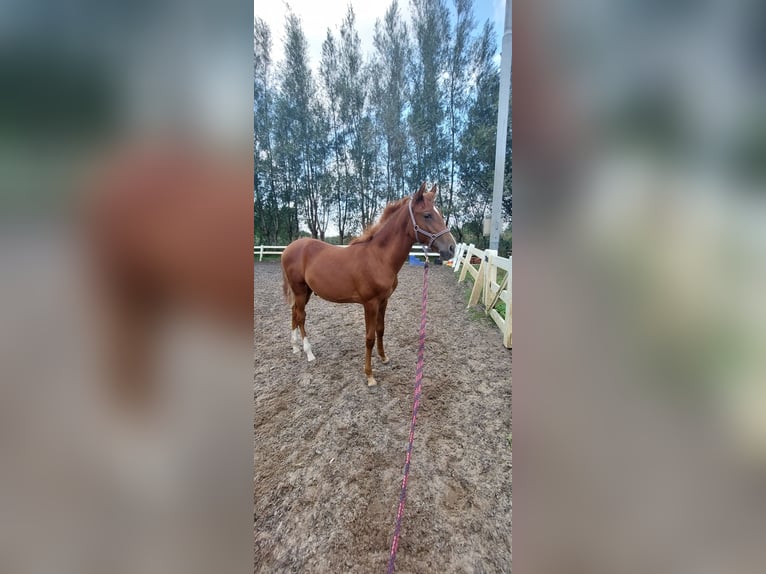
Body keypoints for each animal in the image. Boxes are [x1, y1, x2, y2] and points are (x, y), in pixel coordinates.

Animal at [280, 183, 456, 388]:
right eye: (427, 215)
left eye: (440, 213)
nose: (451, 248)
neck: (378, 258)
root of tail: (289, 248)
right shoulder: (370, 303)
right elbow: (369, 337)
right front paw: (370, 375)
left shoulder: (384, 301)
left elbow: (381, 329)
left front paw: (384, 357)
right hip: (300, 290)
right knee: (301, 317)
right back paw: (309, 353)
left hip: (305, 291)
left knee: (294, 313)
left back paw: (295, 348)